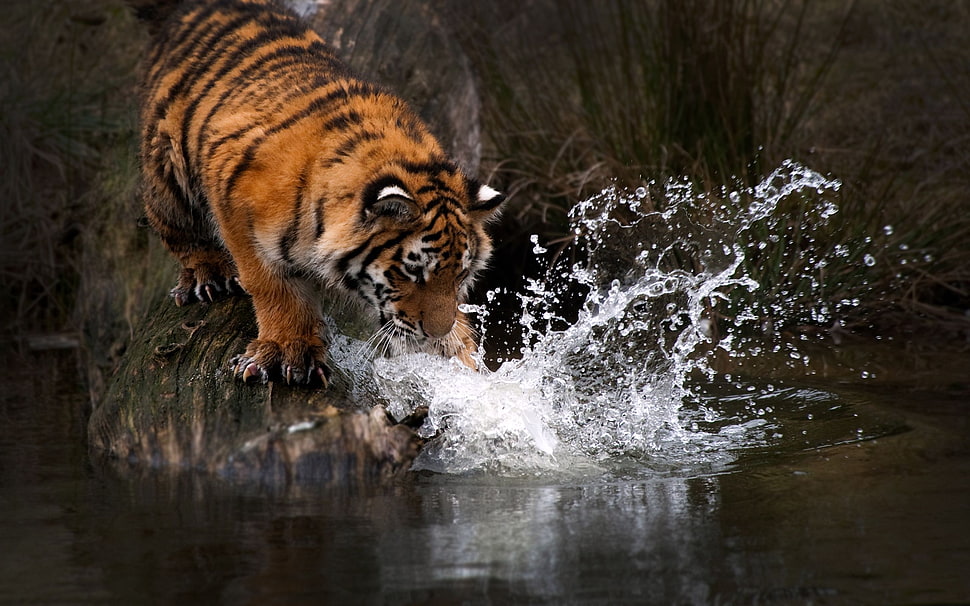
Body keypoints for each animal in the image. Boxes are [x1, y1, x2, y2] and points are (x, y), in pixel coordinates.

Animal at [132, 0, 505, 387]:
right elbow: (273, 287)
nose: (435, 331)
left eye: (460, 275)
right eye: (413, 272)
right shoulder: (236, 205)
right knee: (174, 225)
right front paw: (287, 351)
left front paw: (465, 363)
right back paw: (209, 274)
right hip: (168, 166)